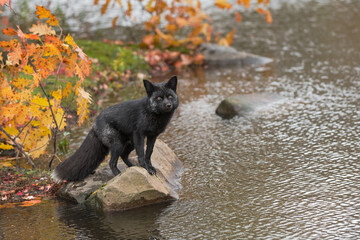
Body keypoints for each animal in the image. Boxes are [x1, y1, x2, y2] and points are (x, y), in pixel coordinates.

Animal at [51, 76, 179, 182]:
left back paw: (132, 167)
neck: (152, 113)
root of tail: (94, 124)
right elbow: (141, 154)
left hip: (129, 143)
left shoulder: (153, 136)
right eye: (159, 98)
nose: (168, 105)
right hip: (118, 144)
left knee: (123, 156)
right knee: (112, 162)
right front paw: (145, 168)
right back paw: (119, 174)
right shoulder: (139, 134)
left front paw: (149, 167)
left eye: (170, 96)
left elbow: (149, 153)